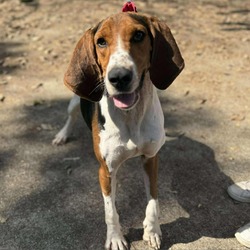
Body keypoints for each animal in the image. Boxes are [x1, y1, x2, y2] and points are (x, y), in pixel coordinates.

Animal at [53, 13, 185, 250]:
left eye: (139, 35)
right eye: (101, 41)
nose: (119, 77)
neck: (131, 116)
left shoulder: (151, 159)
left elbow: (153, 202)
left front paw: (152, 231)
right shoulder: (106, 170)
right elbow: (110, 211)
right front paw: (115, 238)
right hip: (75, 102)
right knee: (71, 116)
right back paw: (62, 135)